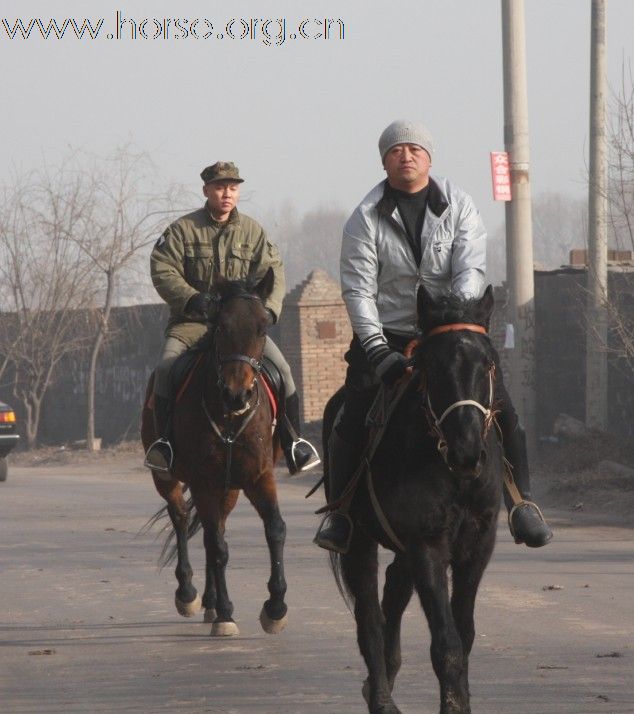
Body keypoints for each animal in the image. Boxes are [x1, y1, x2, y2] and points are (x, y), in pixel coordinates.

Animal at [141, 268, 286, 636]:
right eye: (221, 327)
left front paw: (276, 608)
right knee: (184, 520)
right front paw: (226, 614)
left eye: (263, 327)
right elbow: (217, 547)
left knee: (213, 527)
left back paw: (209, 601)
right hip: (167, 477)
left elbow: (275, 529)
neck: (228, 416)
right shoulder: (204, 481)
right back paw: (191, 595)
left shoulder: (259, 476)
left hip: (228, 488)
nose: (238, 394)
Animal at [324, 284, 502, 712]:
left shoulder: (478, 545)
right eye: (432, 366)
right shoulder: (427, 544)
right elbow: (447, 644)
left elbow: (464, 635)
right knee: (369, 616)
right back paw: (380, 697)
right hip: (360, 543)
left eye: (488, 362)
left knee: (392, 593)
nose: (467, 452)